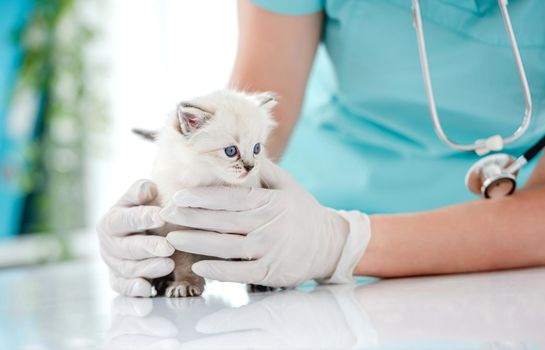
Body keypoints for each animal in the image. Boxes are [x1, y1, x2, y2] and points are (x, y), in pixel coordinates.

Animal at [132, 89, 276, 298]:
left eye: (256, 148)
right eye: (231, 151)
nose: (250, 167)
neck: (214, 184)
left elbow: (254, 257)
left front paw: (260, 282)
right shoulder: (176, 229)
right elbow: (185, 262)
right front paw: (185, 284)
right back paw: (162, 282)